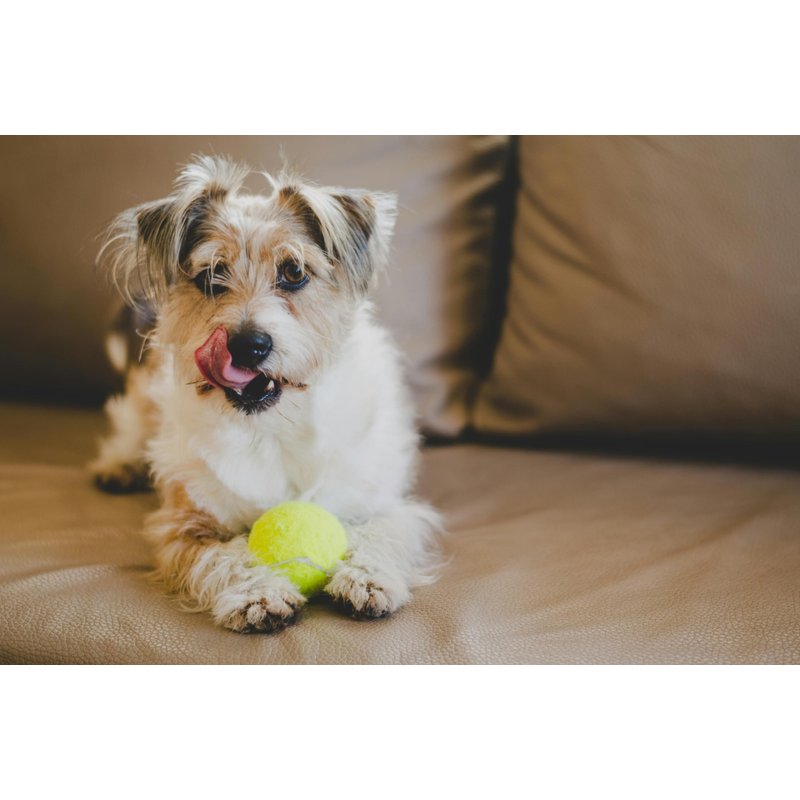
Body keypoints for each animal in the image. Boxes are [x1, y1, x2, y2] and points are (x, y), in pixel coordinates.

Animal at [90, 155, 442, 632]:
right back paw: (119, 464)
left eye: (293, 272)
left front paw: (367, 578)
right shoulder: (182, 524)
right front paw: (258, 593)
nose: (247, 345)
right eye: (211, 276)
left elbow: (382, 532)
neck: (271, 428)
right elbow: (224, 556)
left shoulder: (386, 505)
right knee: (129, 420)